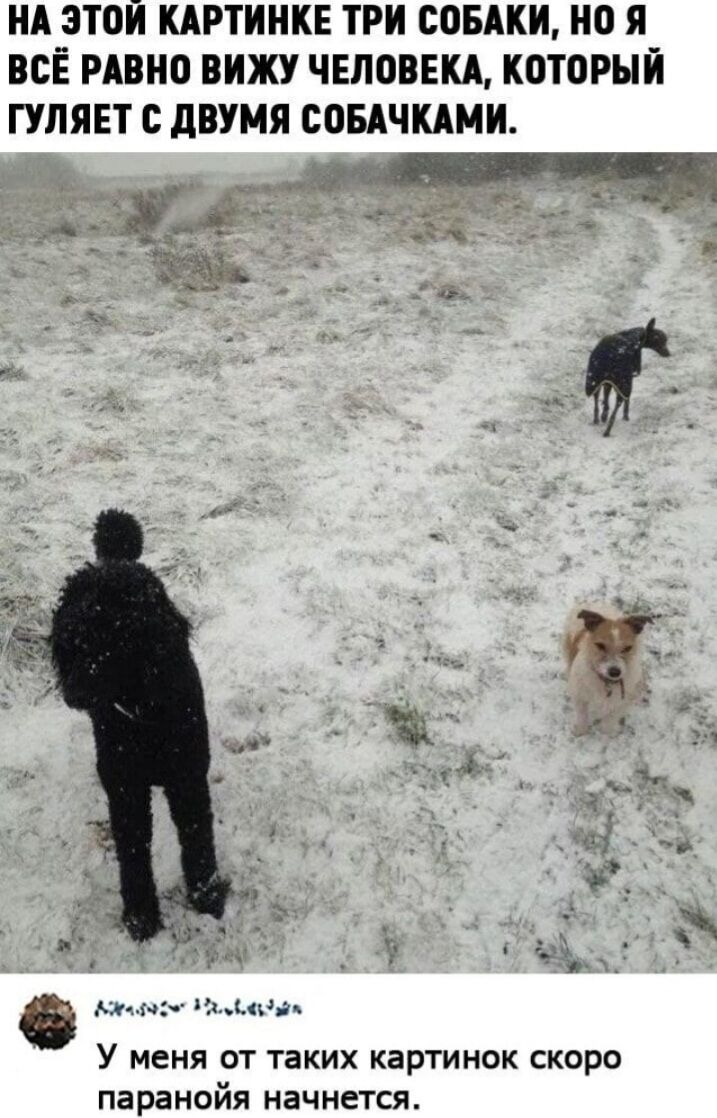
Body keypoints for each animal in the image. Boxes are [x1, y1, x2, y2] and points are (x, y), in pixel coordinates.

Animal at [50, 512, 225, 939]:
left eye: (112, 642)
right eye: (70, 641)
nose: (71, 692)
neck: (146, 715)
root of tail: (117, 559)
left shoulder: (187, 780)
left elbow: (197, 839)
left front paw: (207, 898)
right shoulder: (125, 787)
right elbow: (132, 853)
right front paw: (141, 915)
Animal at [561, 603, 653, 733]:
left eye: (627, 648)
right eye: (600, 645)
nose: (614, 672)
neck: (607, 683)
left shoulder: (622, 702)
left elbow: (610, 721)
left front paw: (609, 733)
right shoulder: (580, 697)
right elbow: (582, 715)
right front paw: (581, 730)